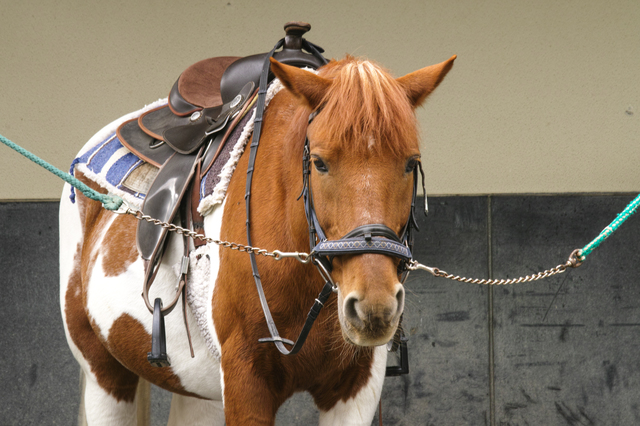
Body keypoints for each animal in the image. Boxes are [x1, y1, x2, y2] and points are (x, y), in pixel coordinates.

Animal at [59, 53, 455, 425]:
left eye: (410, 163)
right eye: (320, 163)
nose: (374, 306)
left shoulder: (358, 386)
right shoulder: (245, 381)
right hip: (104, 372)